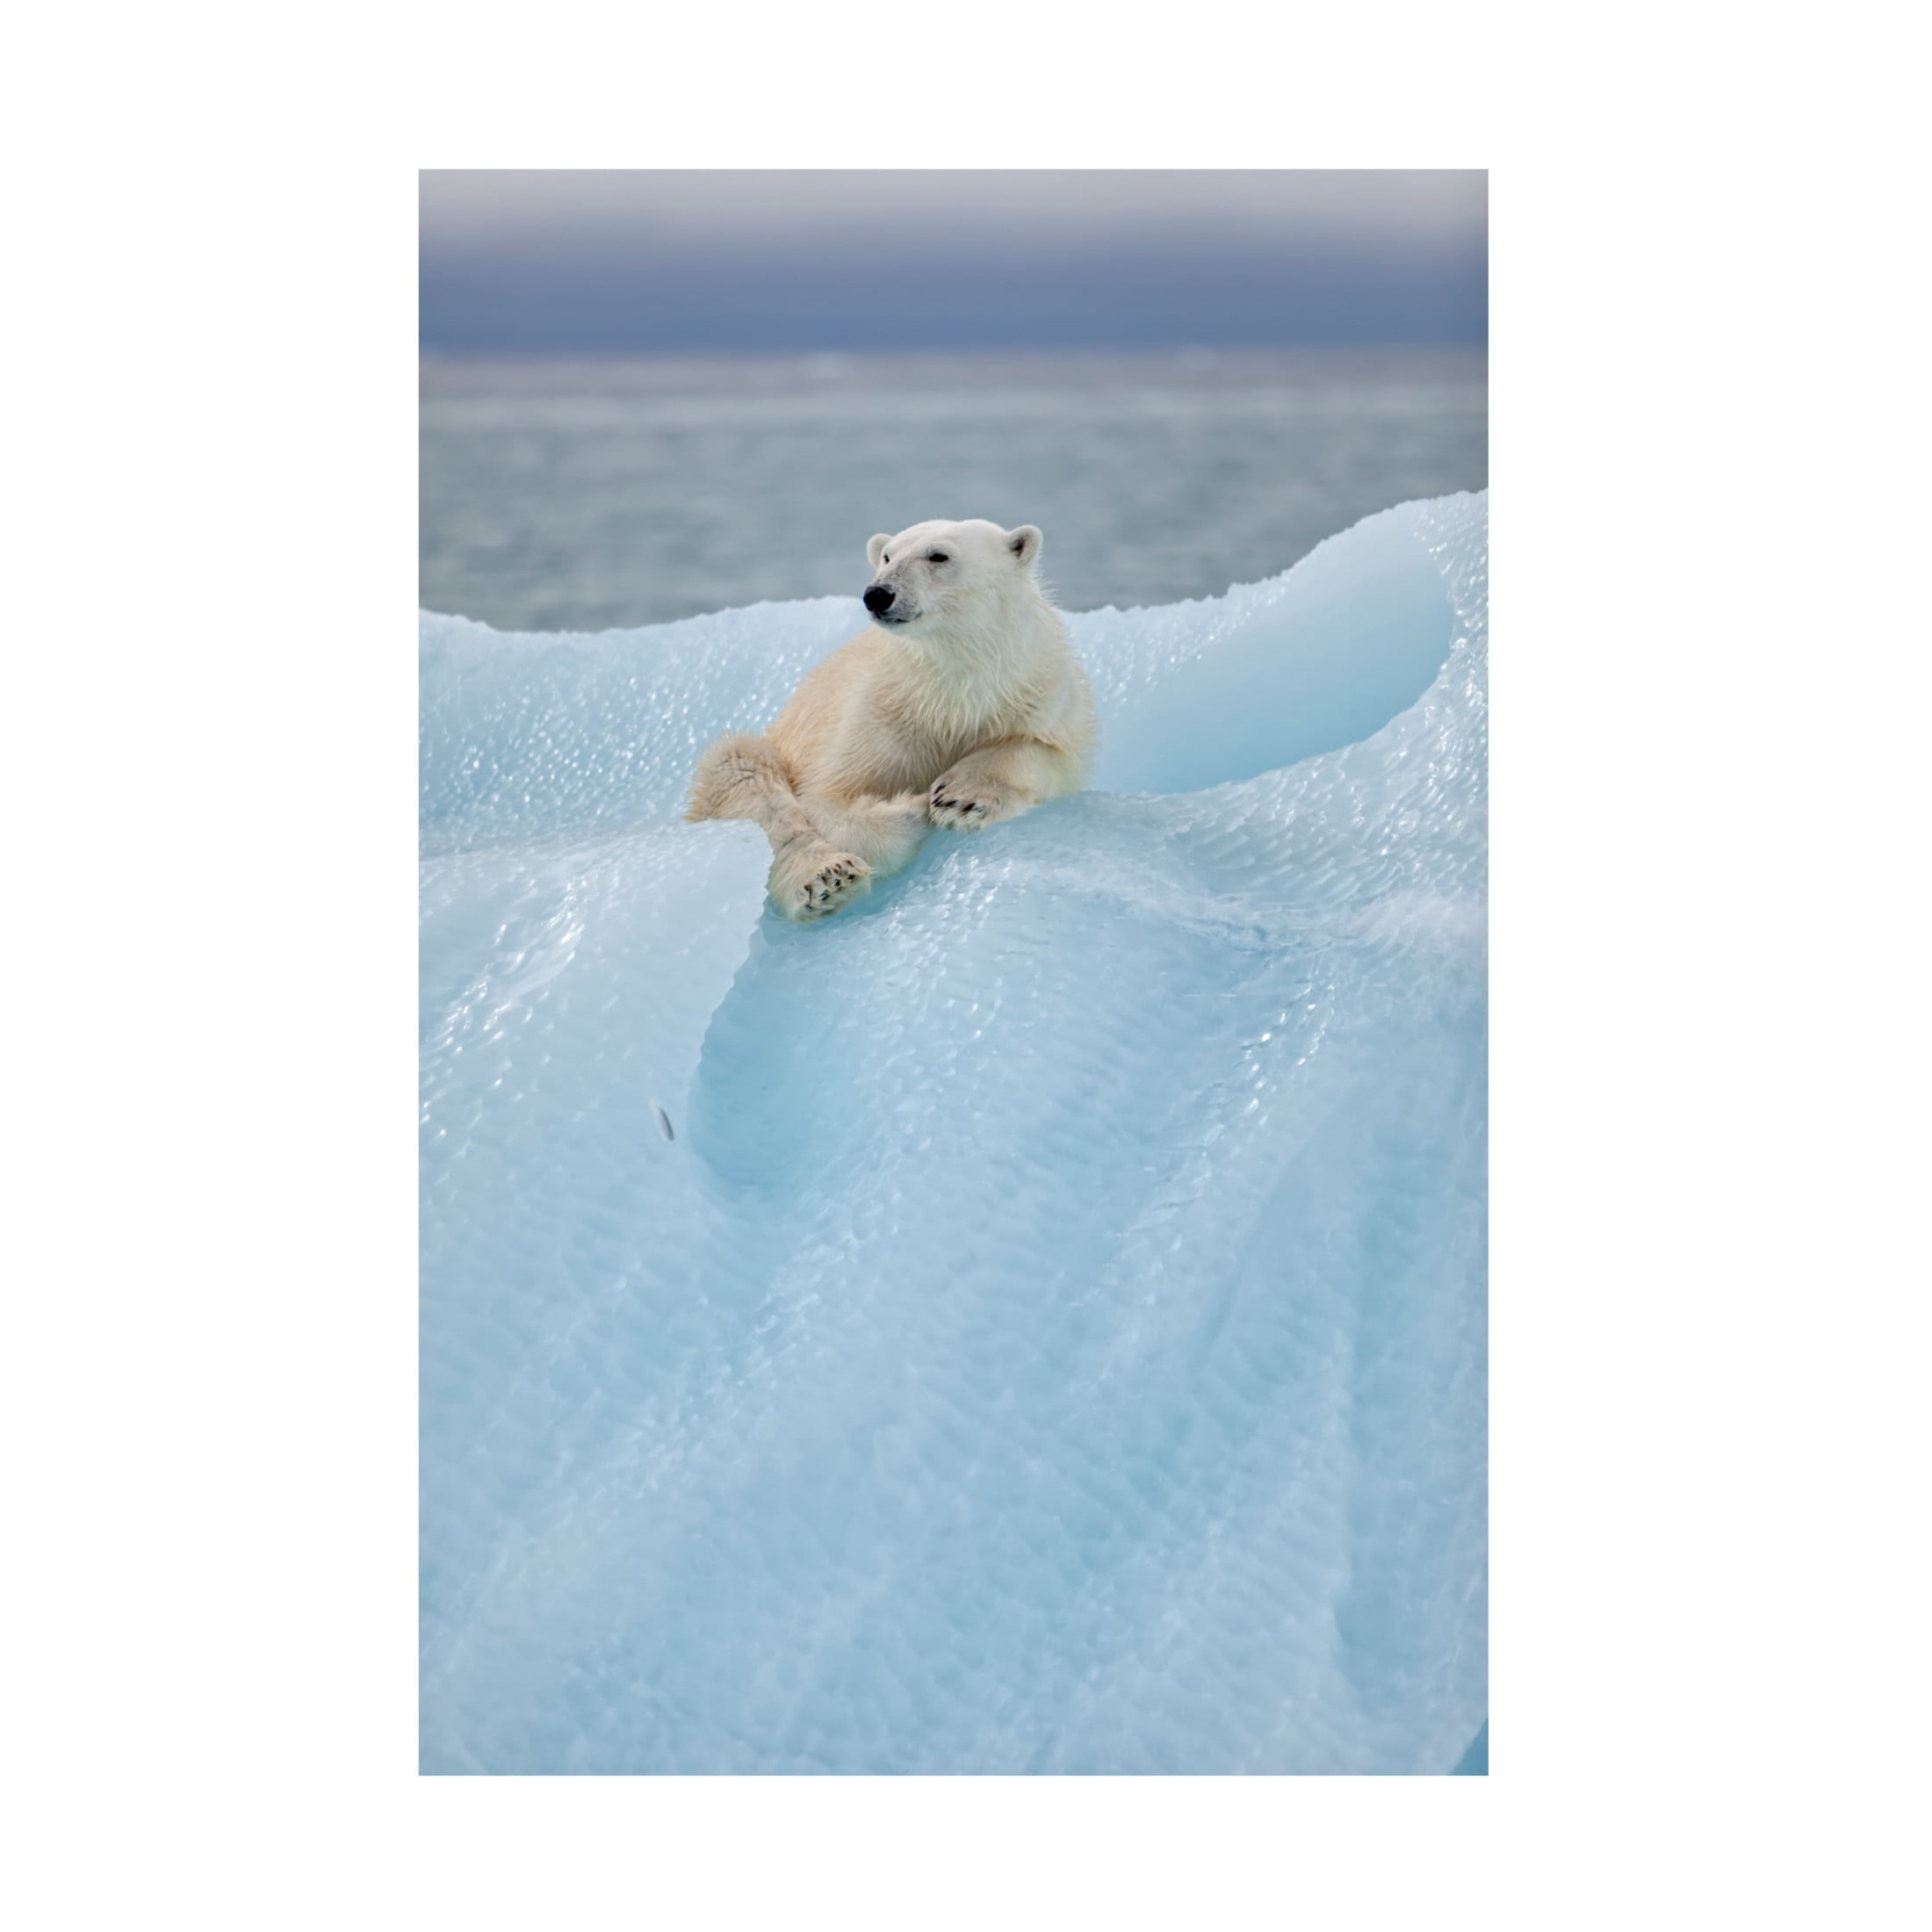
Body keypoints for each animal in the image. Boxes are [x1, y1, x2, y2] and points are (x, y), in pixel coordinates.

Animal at [686, 518, 1098, 921]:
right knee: (745, 772)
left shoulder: (1038, 689)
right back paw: (827, 877)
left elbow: (1049, 753)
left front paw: (963, 798)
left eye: (938, 555)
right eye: (886, 555)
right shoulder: (878, 712)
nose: (878, 594)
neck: (949, 692)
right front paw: (915, 806)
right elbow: (826, 799)